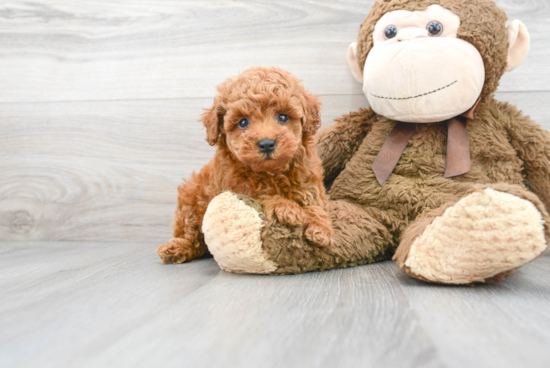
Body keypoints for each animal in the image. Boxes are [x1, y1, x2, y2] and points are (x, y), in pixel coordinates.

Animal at [157, 67, 334, 264]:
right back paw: (176, 249)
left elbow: (317, 204)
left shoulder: (309, 181)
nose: (266, 144)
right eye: (243, 122)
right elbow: (263, 194)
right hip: (191, 199)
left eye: (283, 117)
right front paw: (287, 208)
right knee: (192, 236)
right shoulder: (238, 187)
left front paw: (321, 228)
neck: (271, 172)